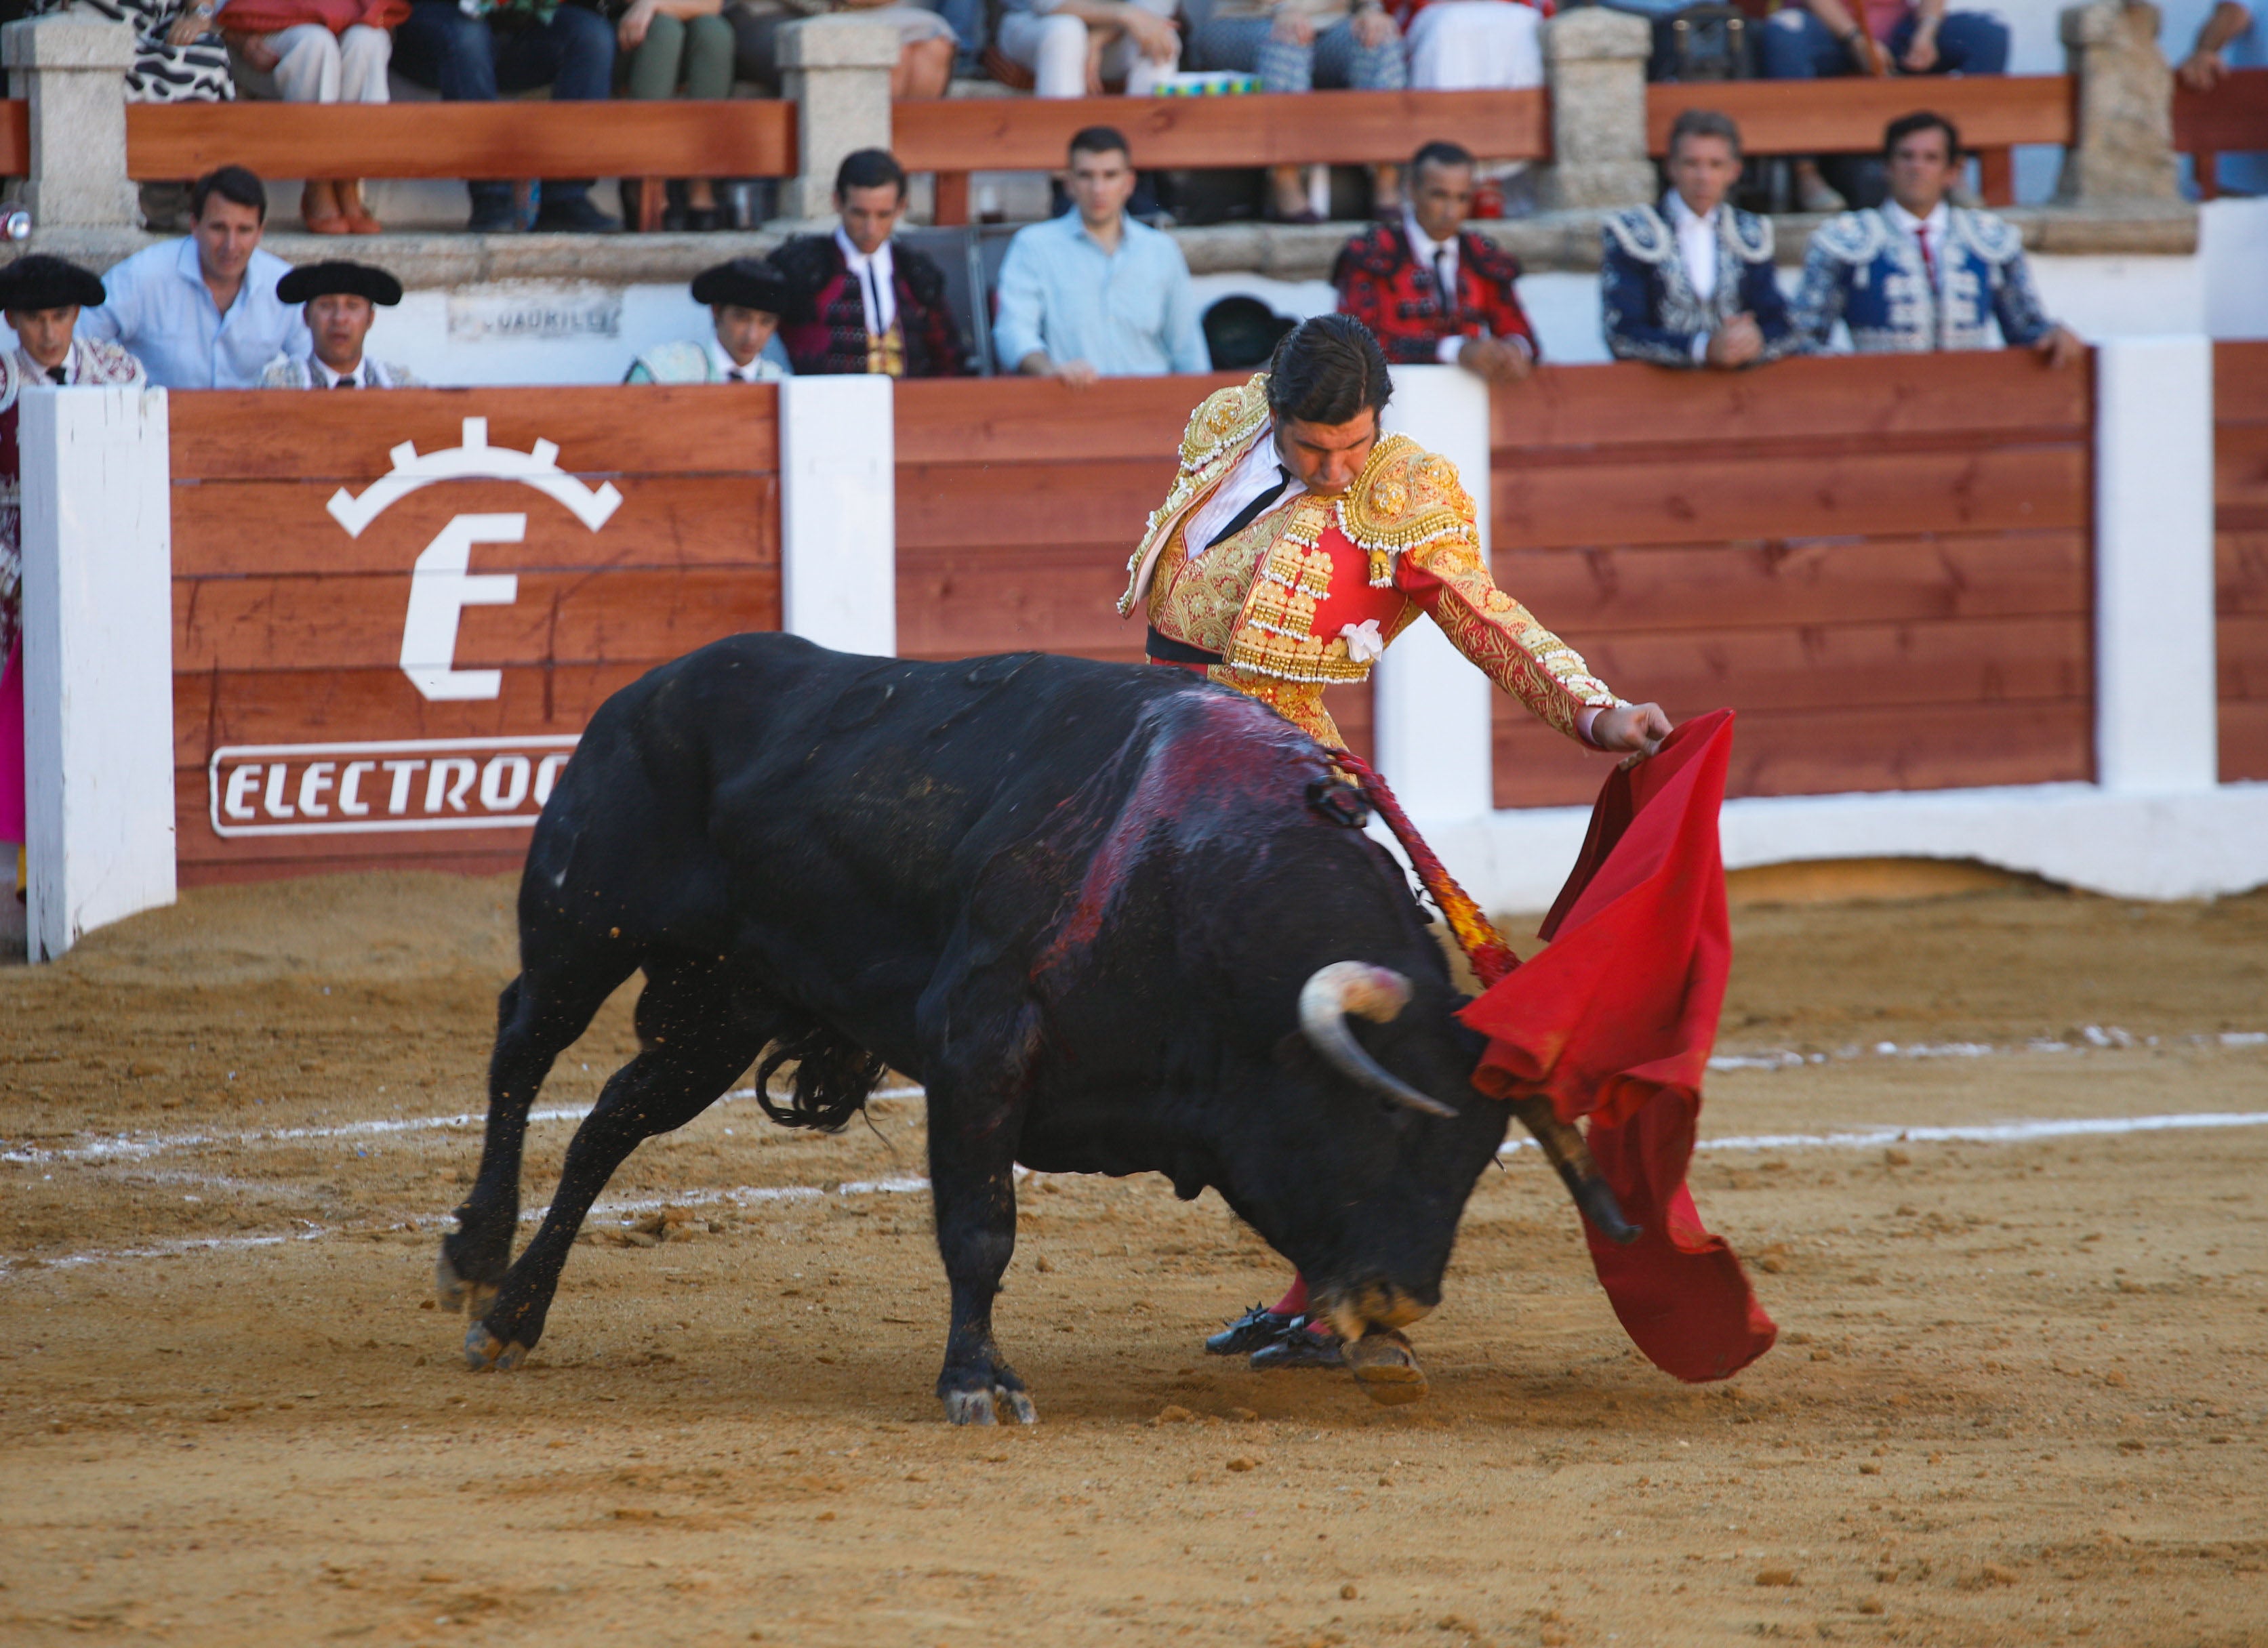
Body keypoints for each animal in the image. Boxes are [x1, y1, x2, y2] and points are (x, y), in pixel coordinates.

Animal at [433, 639, 1633, 1423]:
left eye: (1474, 1161)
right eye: (1377, 1123)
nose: (1399, 1298)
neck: (1200, 884)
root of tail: (649, 685)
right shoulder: (978, 1047)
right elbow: (980, 1227)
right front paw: (978, 1381)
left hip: (721, 1012)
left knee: (607, 1126)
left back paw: (516, 1315)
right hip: (582, 929)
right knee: (519, 1050)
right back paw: (475, 1258)